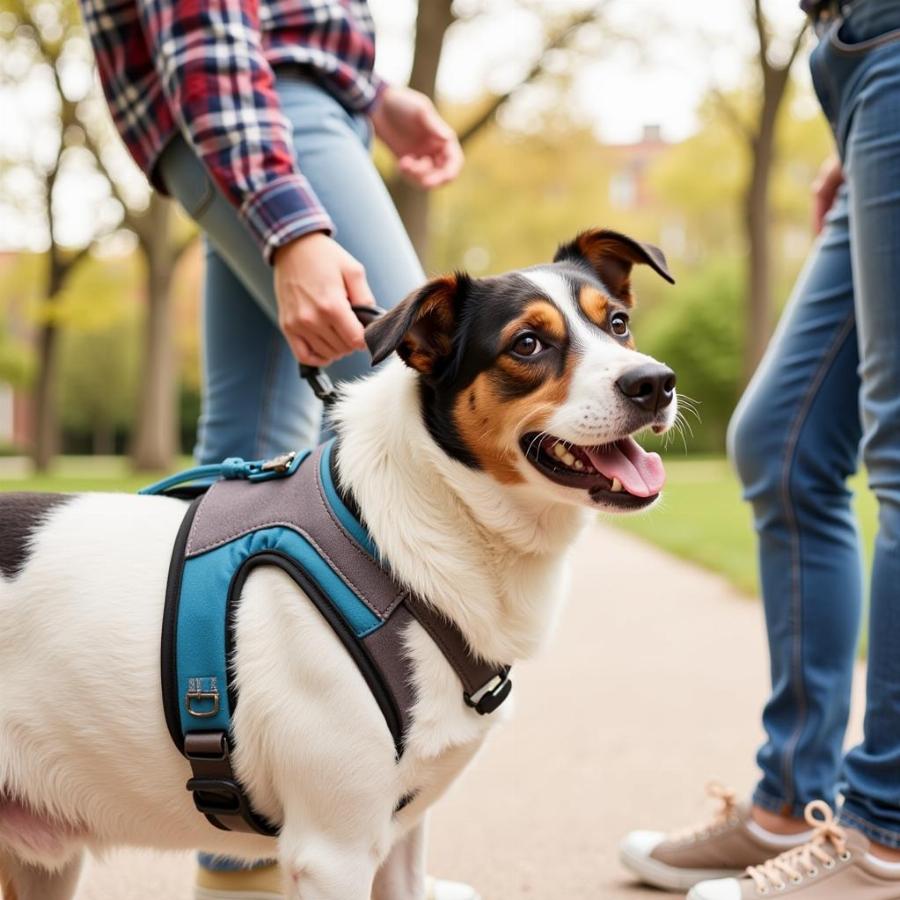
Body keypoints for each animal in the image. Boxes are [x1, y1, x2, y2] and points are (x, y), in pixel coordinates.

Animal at [0, 230, 676, 900]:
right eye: (528, 343)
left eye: (618, 323)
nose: (655, 382)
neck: (399, 544)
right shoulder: (334, 852)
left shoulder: (400, 836)